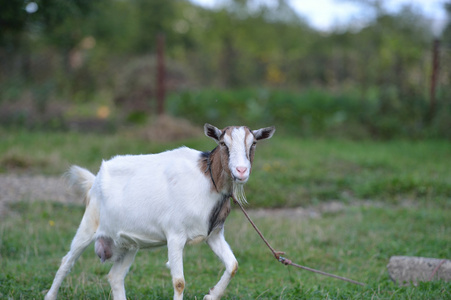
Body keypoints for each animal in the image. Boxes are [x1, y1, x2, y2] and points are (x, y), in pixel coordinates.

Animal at [44, 123, 276, 298]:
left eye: (253, 143)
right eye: (223, 143)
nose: (241, 171)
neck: (207, 181)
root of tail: (95, 180)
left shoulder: (214, 233)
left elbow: (233, 265)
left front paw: (211, 295)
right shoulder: (175, 235)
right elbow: (179, 282)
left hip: (128, 244)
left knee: (115, 277)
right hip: (89, 224)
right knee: (67, 262)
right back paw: (50, 295)